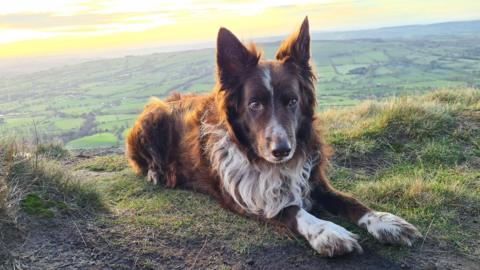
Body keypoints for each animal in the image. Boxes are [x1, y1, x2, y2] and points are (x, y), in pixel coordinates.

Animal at [124, 17, 420, 258]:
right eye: (254, 104)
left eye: (292, 101)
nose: (282, 150)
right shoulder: (247, 197)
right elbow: (291, 210)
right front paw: (325, 231)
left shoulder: (313, 178)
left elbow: (349, 200)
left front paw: (383, 221)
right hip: (151, 119)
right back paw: (156, 172)